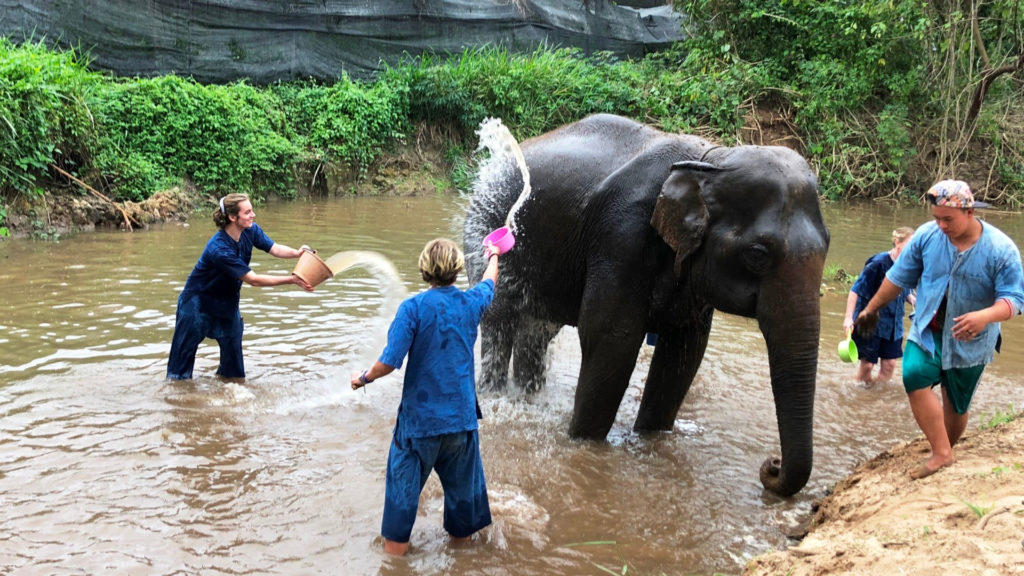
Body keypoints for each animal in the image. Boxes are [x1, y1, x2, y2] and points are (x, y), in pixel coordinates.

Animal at [466, 112, 831, 494]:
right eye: (758, 254)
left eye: (828, 245)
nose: (772, 465)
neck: (712, 160)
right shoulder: (621, 236)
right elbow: (613, 340)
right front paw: (584, 446)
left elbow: (684, 352)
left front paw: (652, 440)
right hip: (486, 220)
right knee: (499, 320)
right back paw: (495, 396)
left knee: (536, 331)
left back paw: (528, 399)